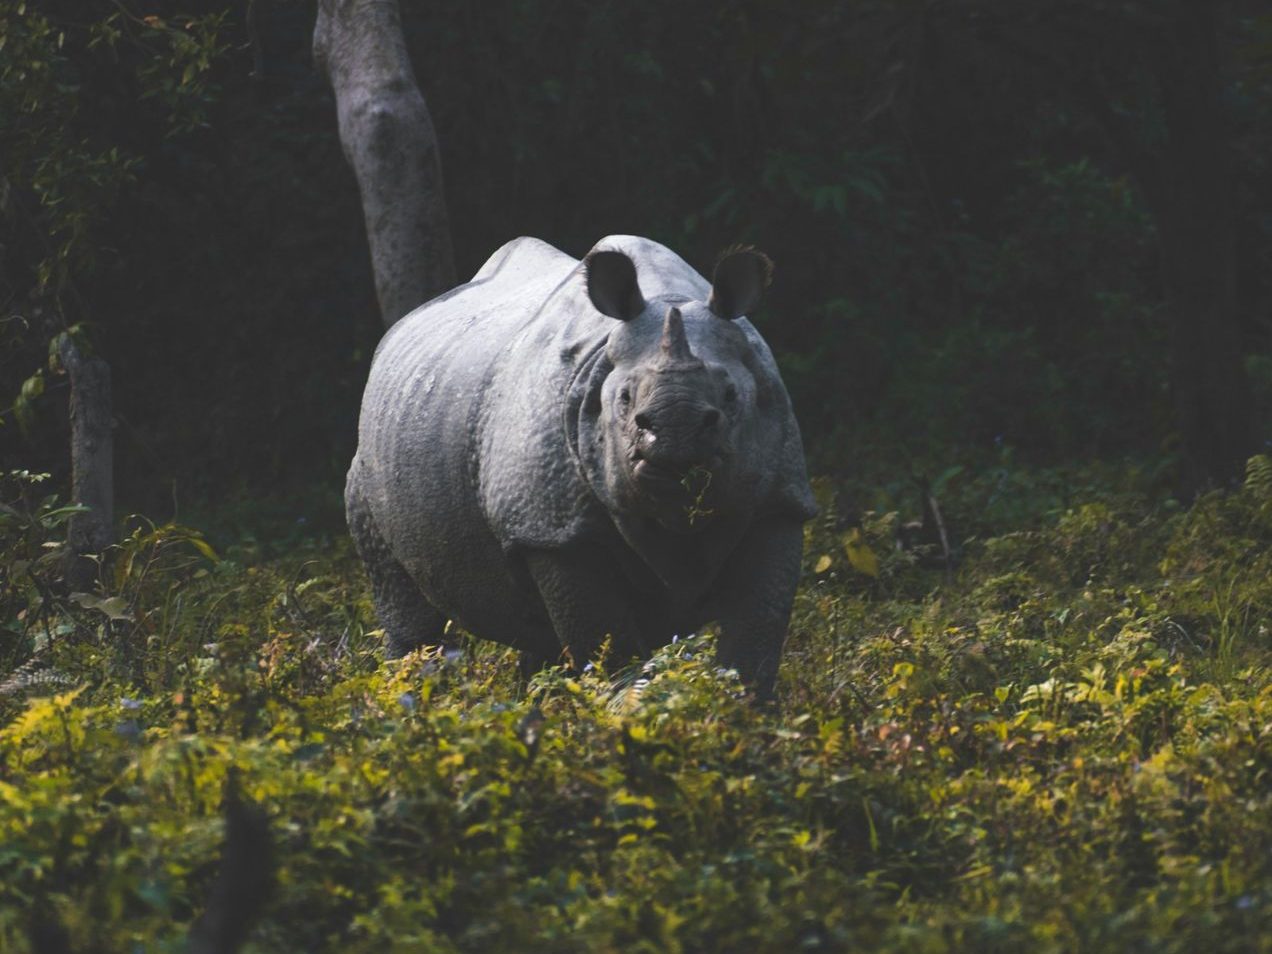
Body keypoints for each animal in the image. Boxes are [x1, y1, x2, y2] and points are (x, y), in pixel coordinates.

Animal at [346, 235, 816, 698]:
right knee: (404, 601)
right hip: (371, 459)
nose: (675, 432)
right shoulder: (552, 530)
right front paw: (625, 706)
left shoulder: (779, 500)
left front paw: (742, 711)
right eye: (624, 400)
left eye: (731, 396)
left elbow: (756, 631)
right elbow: (604, 639)